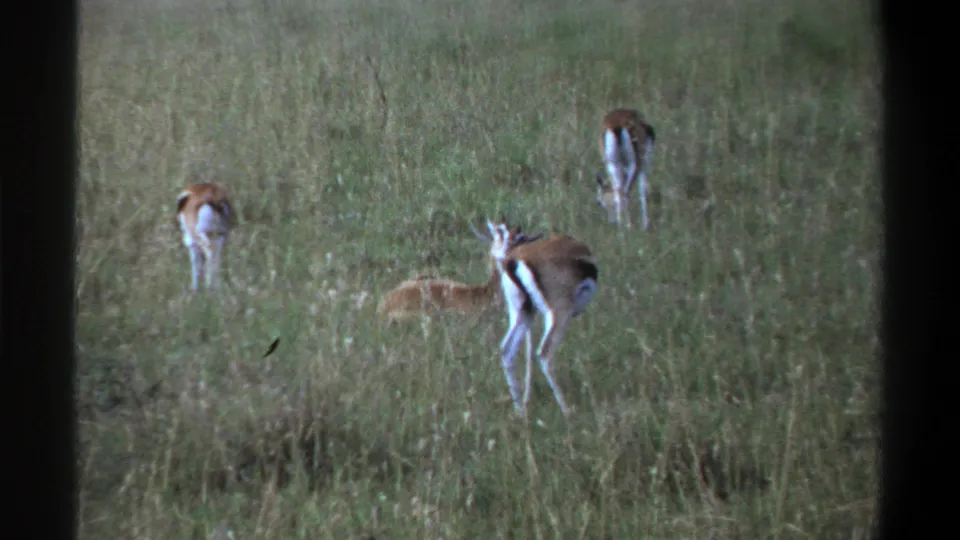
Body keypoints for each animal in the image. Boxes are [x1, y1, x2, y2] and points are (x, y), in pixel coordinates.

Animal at [483, 218, 599, 417]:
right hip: (558, 313)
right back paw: (567, 410)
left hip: (522, 314)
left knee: (507, 350)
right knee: (544, 353)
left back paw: (520, 409)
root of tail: (514, 261)